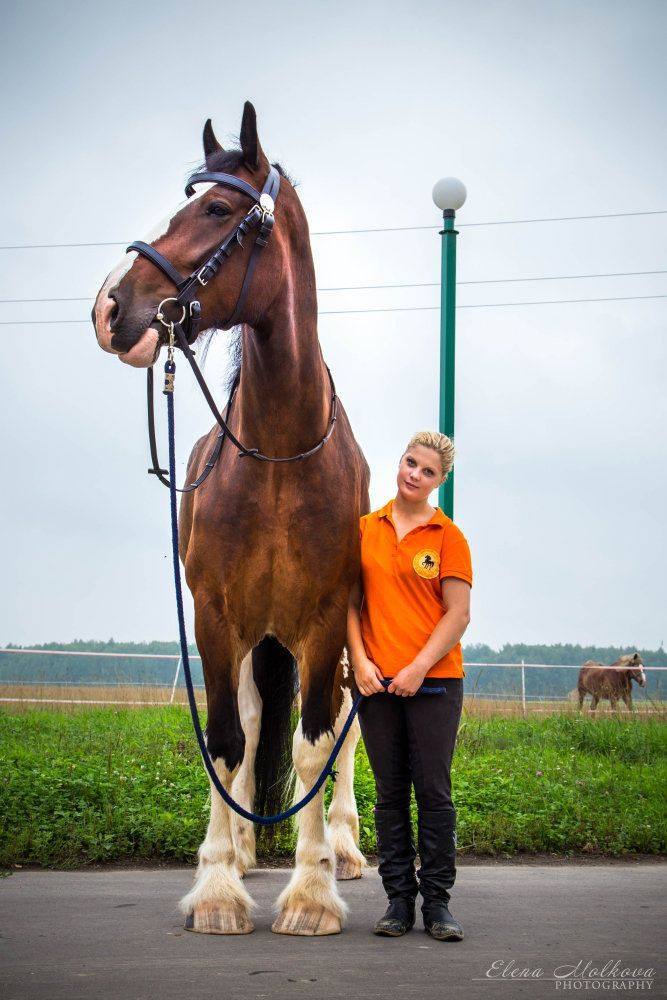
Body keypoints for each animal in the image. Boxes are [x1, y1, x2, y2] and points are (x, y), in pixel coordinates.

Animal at [92, 101, 371, 936]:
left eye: (216, 209)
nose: (110, 306)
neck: (279, 452)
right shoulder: (216, 617)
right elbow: (224, 741)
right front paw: (218, 884)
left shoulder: (324, 621)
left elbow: (314, 747)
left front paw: (311, 892)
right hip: (252, 637)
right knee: (248, 728)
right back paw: (246, 846)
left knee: (345, 733)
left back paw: (344, 846)